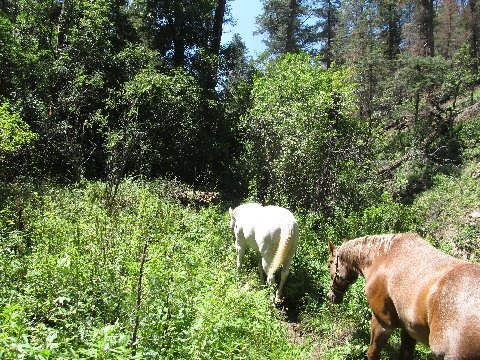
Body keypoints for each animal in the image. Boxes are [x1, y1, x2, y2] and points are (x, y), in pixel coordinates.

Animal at [328, 232, 480, 358]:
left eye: (329, 263)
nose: (331, 296)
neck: (382, 257)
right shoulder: (409, 329)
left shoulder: (382, 323)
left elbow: (372, 352)